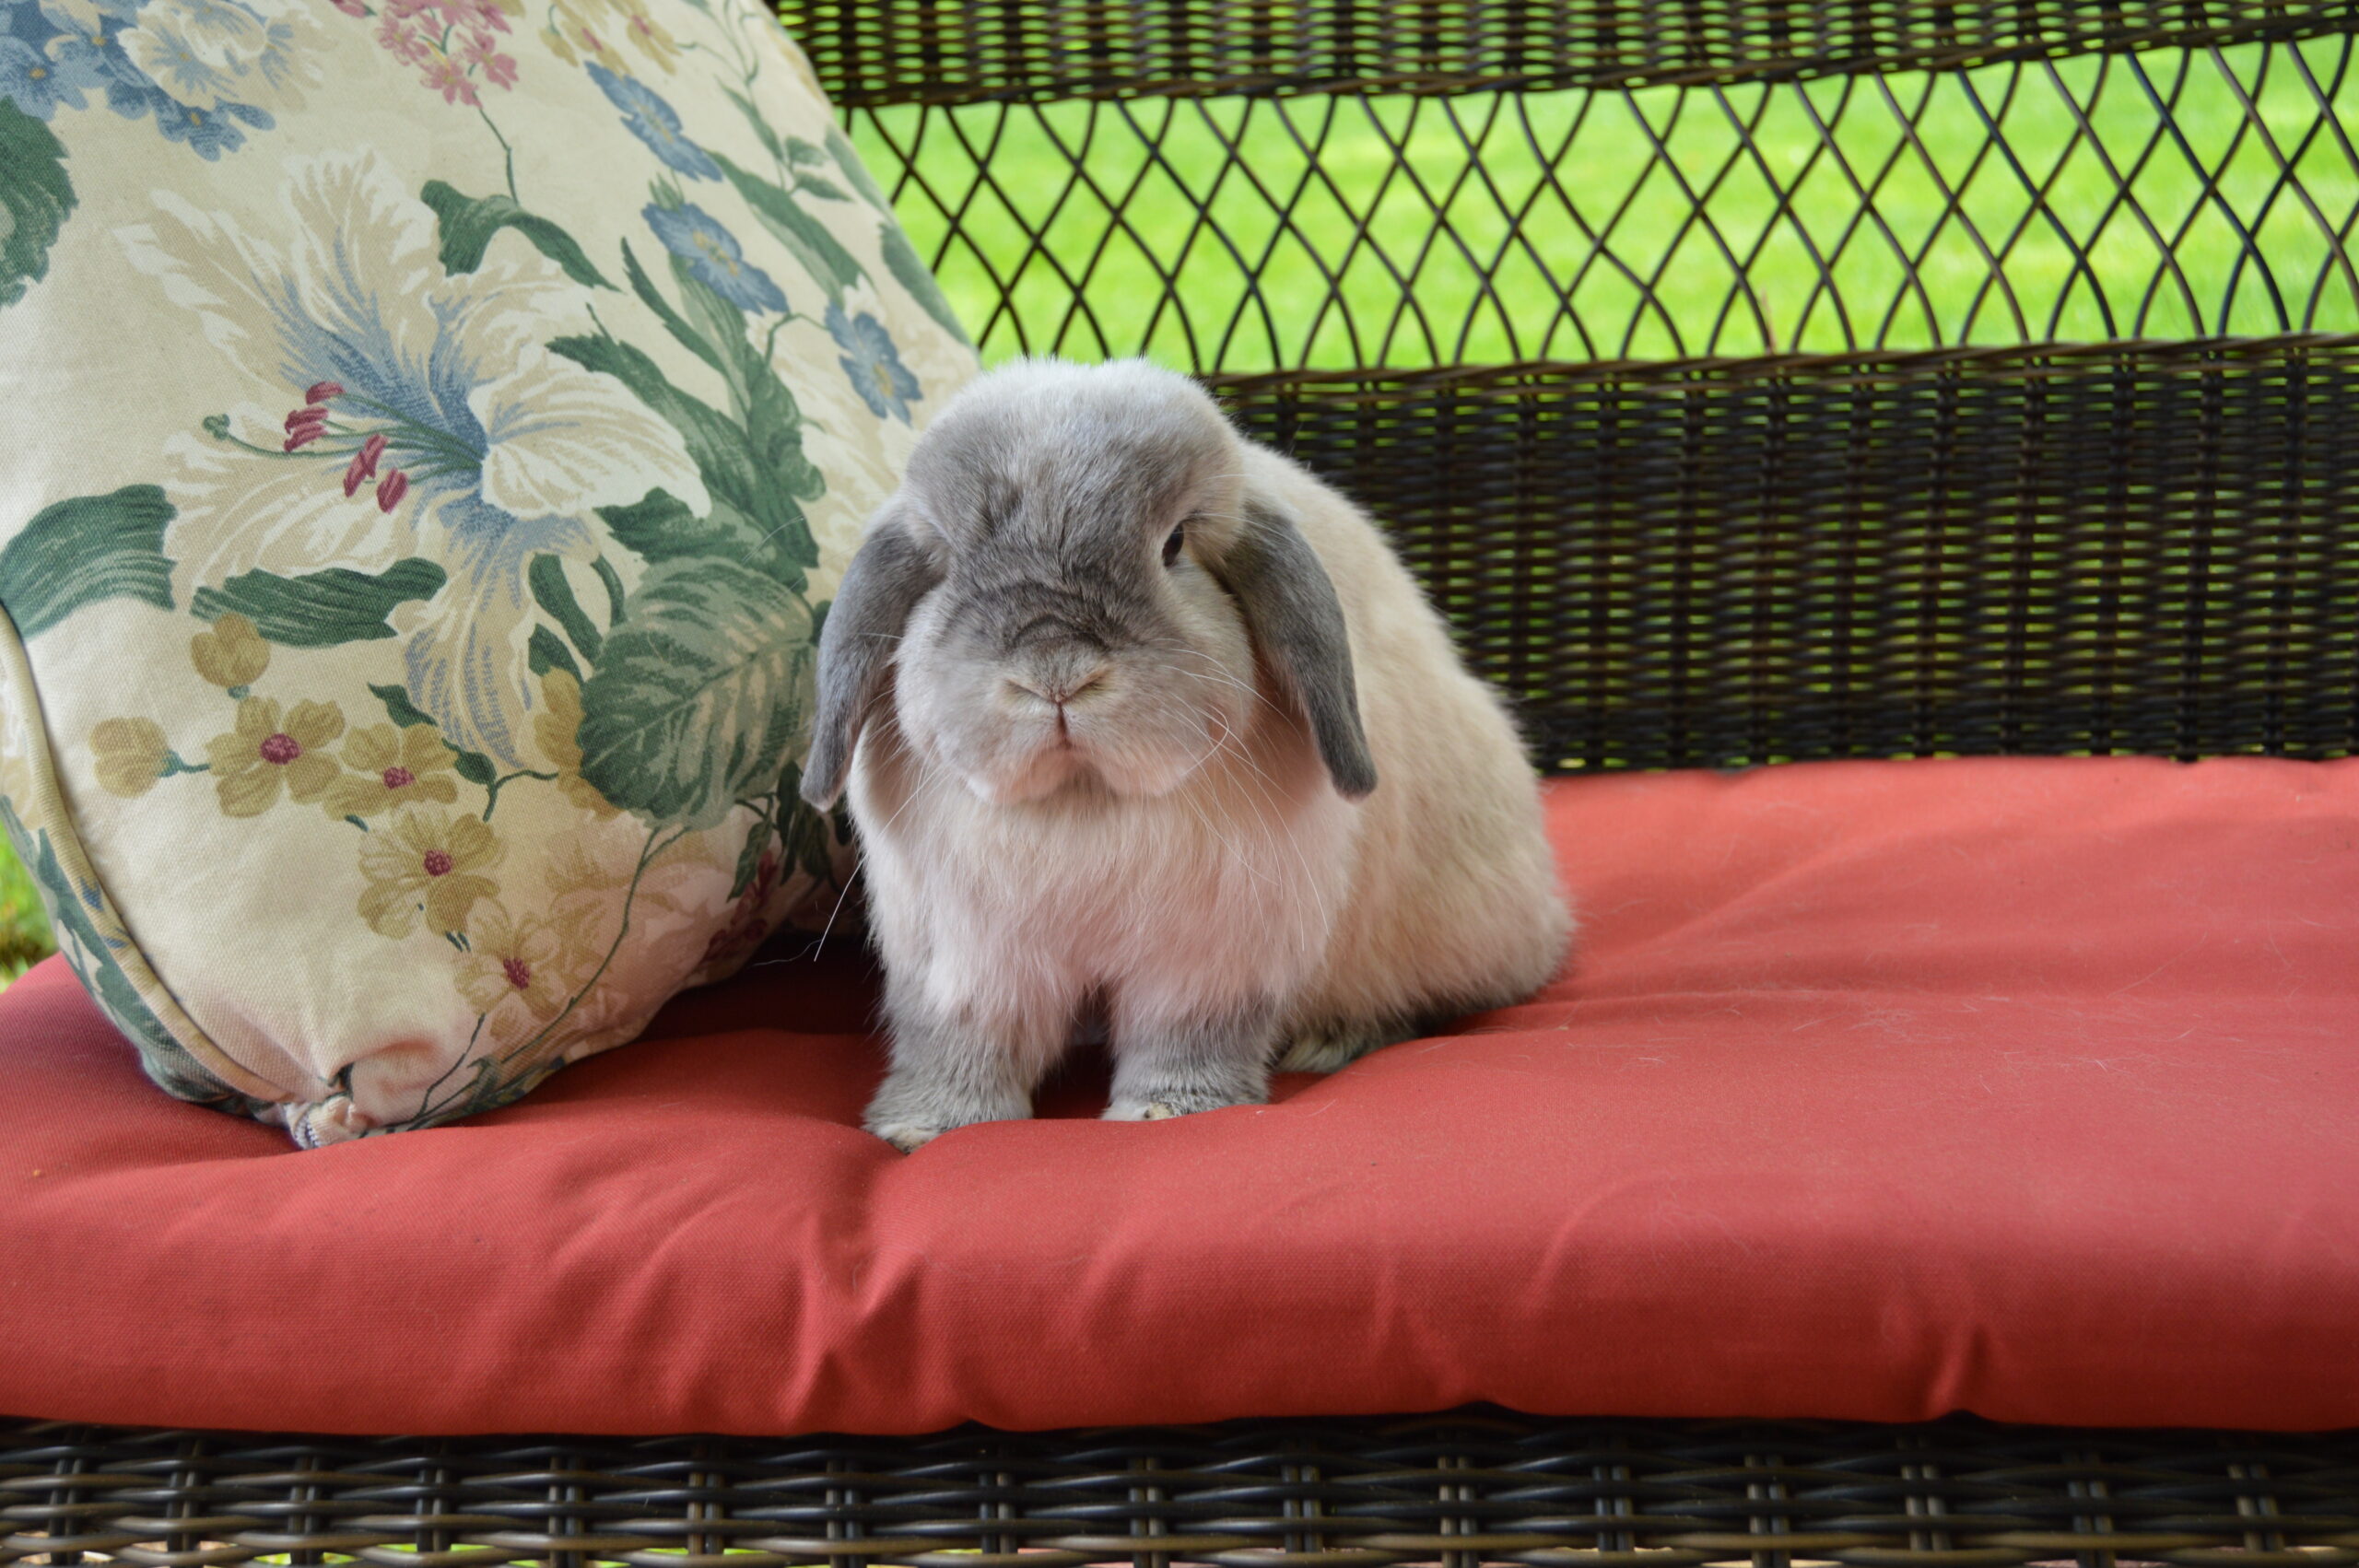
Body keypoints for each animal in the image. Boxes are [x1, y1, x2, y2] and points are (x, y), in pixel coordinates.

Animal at [801, 358, 1573, 1152]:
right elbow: (960, 1042)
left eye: (1173, 546)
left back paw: (1334, 1039)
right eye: (949, 561)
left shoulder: (1207, 962)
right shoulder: (966, 964)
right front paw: (927, 1128)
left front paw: (1169, 1113)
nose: (1056, 673)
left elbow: (1186, 1037)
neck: (1085, 801)